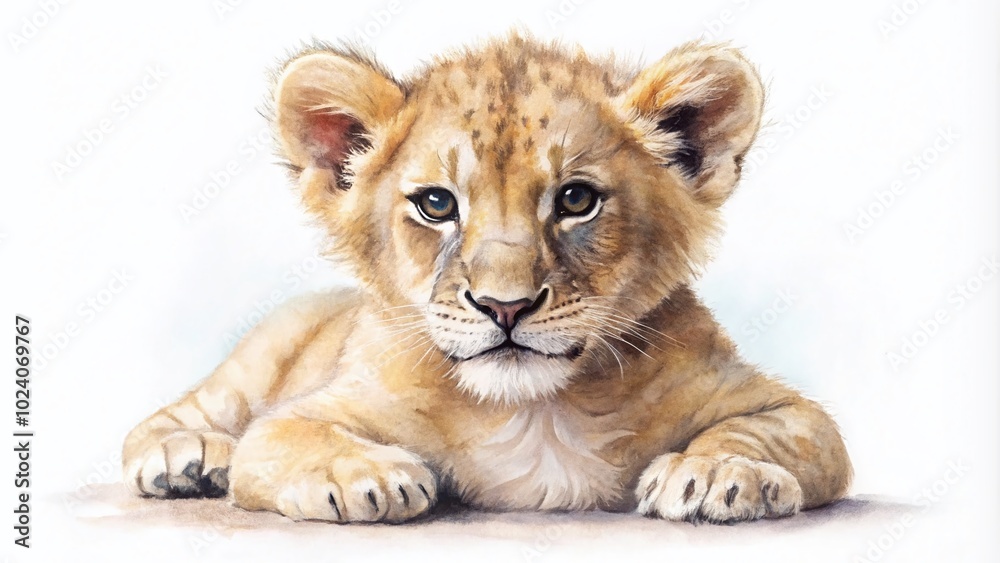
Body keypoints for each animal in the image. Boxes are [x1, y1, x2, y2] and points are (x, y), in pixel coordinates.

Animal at [122, 33, 852, 524]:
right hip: (260, 356)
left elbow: (768, 430)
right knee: (181, 417)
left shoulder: (789, 411)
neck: (536, 413)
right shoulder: (307, 412)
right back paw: (189, 458)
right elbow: (289, 436)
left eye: (575, 199)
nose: (506, 306)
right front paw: (367, 475)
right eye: (436, 204)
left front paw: (718, 471)